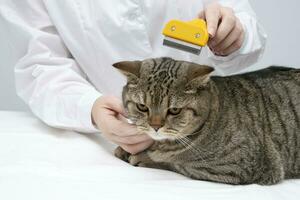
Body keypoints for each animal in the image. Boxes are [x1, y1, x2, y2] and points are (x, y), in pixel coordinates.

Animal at [111, 57, 298, 185]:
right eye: (142, 107)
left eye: (174, 110)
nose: (155, 126)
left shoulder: (239, 165)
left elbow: (175, 163)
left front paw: (144, 157)